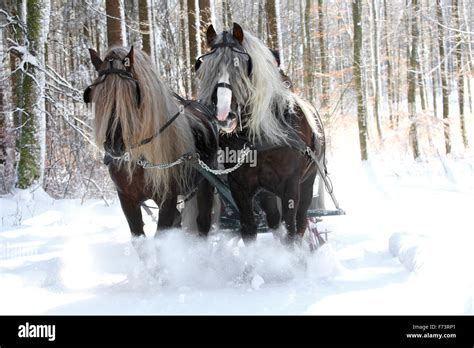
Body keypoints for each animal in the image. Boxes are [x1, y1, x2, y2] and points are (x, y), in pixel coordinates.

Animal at [84, 45, 218, 242]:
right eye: (97, 96)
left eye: (134, 93)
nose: (115, 146)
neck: (140, 158)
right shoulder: (127, 199)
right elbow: (139, 236)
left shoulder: (167, 198)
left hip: (205, 182)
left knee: (203, 221)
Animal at [193, 24, 326, 246]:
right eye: (206, 69)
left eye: (241, 67)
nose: (223, 114)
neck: (257, 139)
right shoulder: (239, 186)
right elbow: (249, 229)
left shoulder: (290, 187)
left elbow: (291, 230)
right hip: (266, 192)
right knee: (273, 218)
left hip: (308, 180)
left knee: (300, 222)